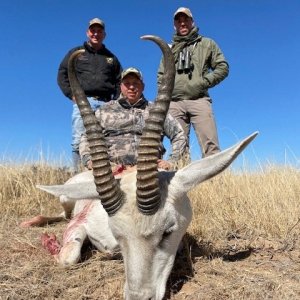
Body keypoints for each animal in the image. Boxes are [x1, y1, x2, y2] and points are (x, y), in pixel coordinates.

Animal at [31, 35, 258, 300]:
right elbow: (69, 257)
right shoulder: (80, 224)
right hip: (66, 198)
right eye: (118, 233)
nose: (139, 296)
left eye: (168, 231)